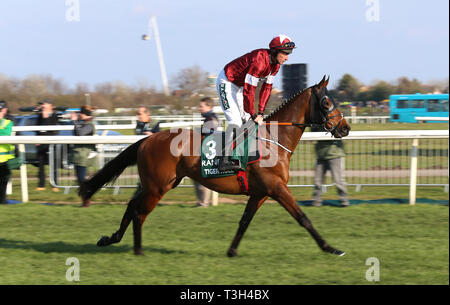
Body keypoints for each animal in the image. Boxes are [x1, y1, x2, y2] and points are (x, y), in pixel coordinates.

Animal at [78, 75, 352, 255]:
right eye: (326, 103)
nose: (345, 128)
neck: (273, 141)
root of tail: (148, 138)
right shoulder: (276, 188)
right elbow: (303, 218)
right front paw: (331, 248)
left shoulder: (260, 193)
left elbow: (244, 222)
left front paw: (231, 251)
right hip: (157, 187)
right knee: (139, 212)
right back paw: (137, 250)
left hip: (158, 184)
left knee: (132, 205)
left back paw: (111, 239)